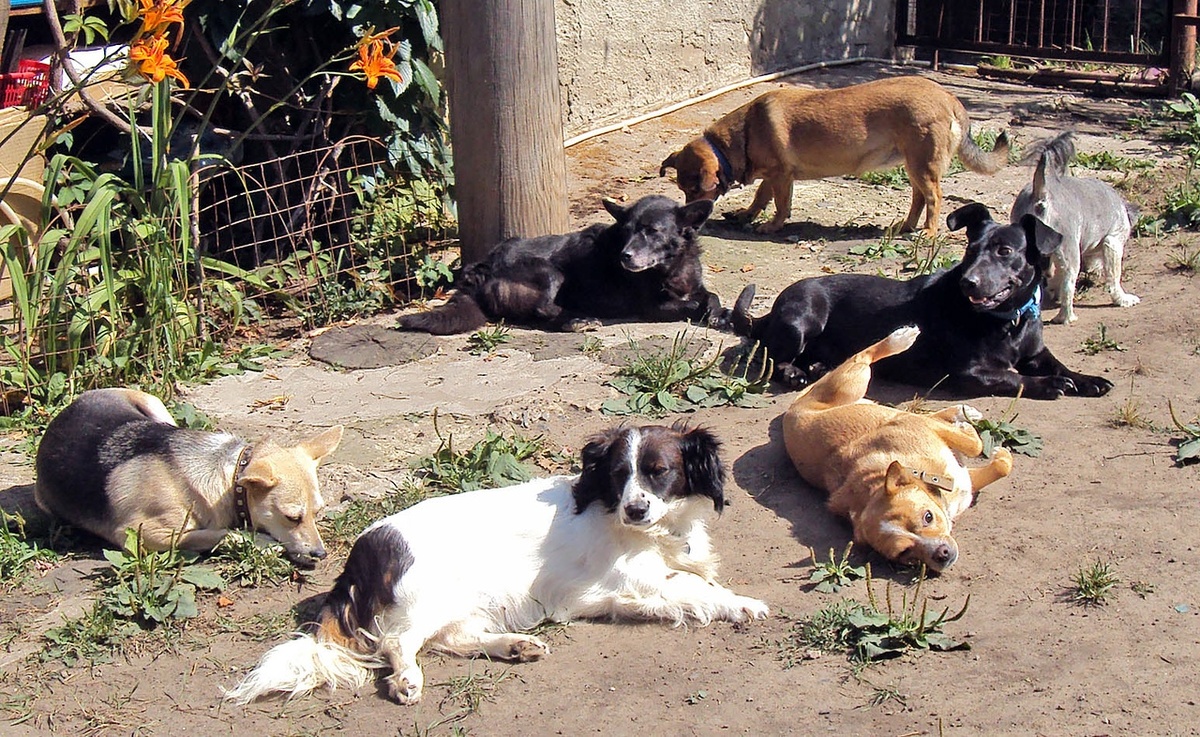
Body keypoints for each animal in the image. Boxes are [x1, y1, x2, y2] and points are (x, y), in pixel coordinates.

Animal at [225, 424, 768, 705]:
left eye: (660, 472)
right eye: (618, 475)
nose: (635, 509)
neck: (654, 531)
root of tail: (362, 551)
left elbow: (698, 579)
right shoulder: (639, 580)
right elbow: (699, 590)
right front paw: (743, 605)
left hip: (464, 602)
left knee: (452, 639)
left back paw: (515, 645)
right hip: (430, 597)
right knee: (399, 643)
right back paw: (408, 680)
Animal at [400, 196, 720, 336]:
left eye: (652, 231)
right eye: (626, 231)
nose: (624, 257)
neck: (672, 266)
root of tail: (483, 268)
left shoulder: (695, 286)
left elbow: (711, 296)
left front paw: (716, 312)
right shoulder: (653, 308)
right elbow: (691, 305)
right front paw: (711, 314)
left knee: (537, 316)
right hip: (550, 271)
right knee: (544, 309)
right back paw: (578, 320)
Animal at [662, 75, 1008, 236]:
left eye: (693, 189)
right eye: (683, 190)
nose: (685, 224)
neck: (739, 137)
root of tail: (949, 97)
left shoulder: (781, 177)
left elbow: (780, 204)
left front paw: (773, 226)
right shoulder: (774, 175)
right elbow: (761, 197)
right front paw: (747, 215)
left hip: (923, 166)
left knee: (934, 198)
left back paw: (929, 231)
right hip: (914, 167)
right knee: (919, 198)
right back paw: (907, 226)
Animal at [729, 201, 1113, 400]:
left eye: (1004, 251)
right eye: (971, 250)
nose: (969, 282)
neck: (1008, 321)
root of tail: (768, 313)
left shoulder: (1036, 354)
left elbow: (1059, 364)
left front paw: (1087, 379)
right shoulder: (969, 374)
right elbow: (1013, 378)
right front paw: (1049, 385)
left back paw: (819, 367)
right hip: (802, 319)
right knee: (774, 357)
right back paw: (796, 373)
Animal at [777, 326, 1012, 573]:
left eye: (927, 517)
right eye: (905, 554)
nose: (942, 554)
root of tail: (793, 407)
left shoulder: (921, 429)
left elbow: (977, 447)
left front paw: (976, 436)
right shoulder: (964, 478)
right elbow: (997, 464)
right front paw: (997, 452)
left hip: (853, 384)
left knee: (863, 357)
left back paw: (900, 340)